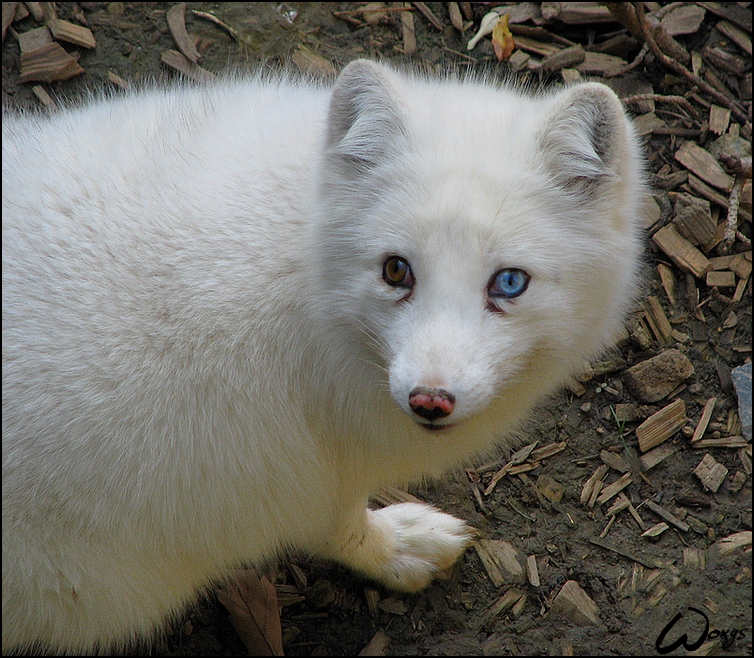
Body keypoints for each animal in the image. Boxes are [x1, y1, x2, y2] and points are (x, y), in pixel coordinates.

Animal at [2, 60, 644, 652]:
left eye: (509, 283)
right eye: (396, 270)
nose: (430, 400)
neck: (306, 279)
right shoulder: (282, 477)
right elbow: (340, 529)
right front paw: (395, 551)